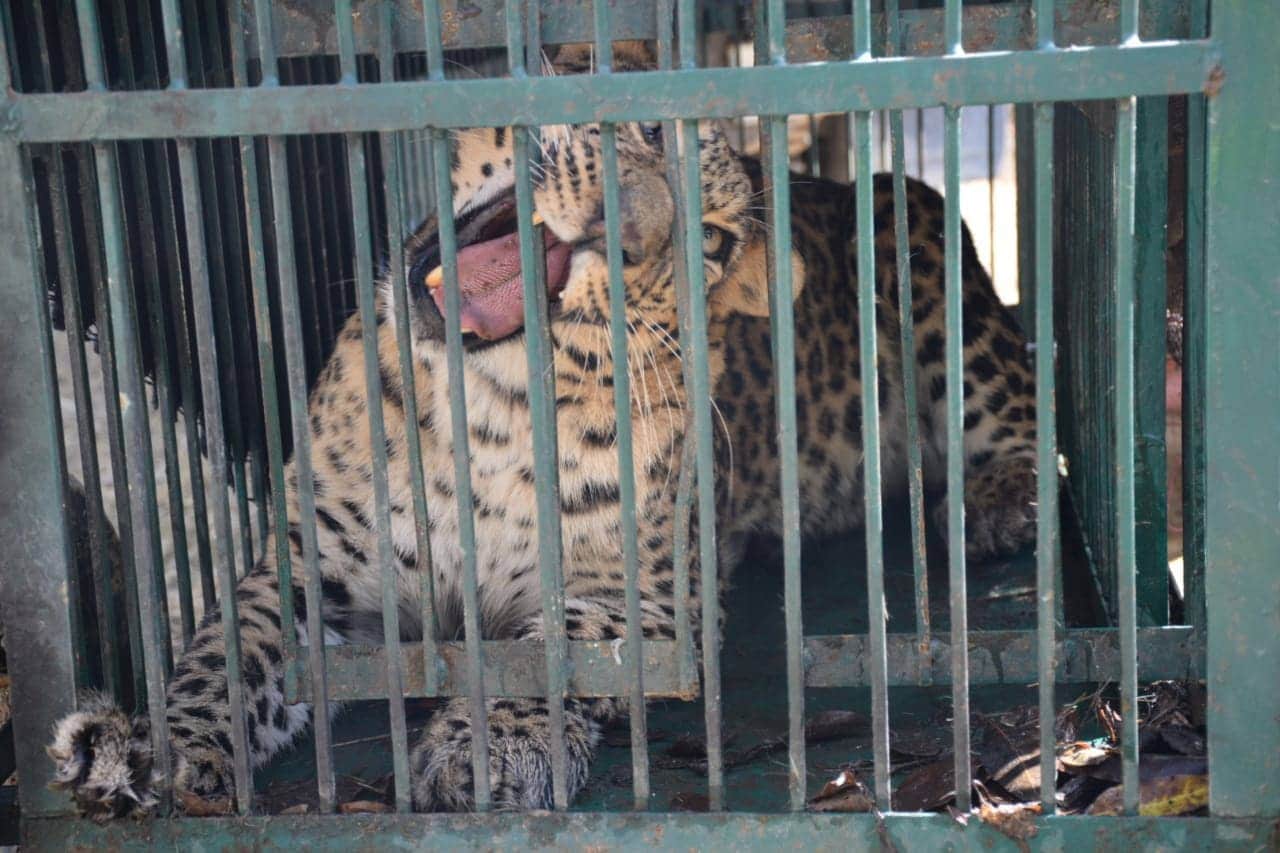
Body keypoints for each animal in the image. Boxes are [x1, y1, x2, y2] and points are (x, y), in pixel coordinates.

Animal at [46, 42, 1037, 819]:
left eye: (713, 242)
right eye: (641, 132)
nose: (624, 233)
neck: (481, 409)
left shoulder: (647, 592)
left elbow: (549, 655)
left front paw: (484, 749)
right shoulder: (312, 563)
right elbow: (224, 654)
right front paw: (150, 746)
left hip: (929, 259)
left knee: (1019, 413)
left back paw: (996, 503)